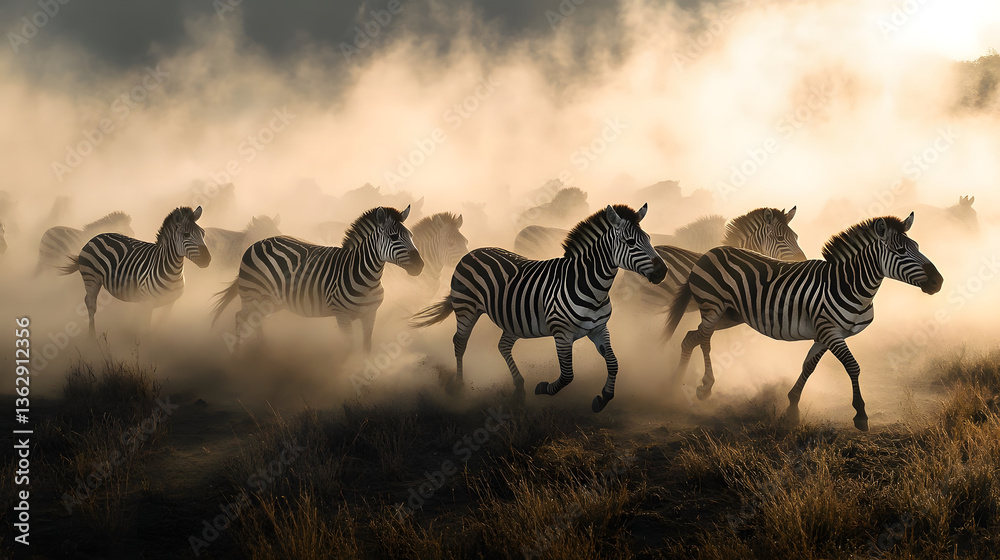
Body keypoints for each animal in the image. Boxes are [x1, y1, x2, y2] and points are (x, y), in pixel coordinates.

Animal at [61, 207, 211, 336]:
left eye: (203, 233)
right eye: (186, 234)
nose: (207, 259)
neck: (173, 272)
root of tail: (96, 236)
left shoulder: (170, 303)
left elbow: (160, 325)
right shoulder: (147, 303)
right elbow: (145, 329)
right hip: (91, 277)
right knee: (90, 303)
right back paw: (91, 337)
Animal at [210, 206, 423, 353]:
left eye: (411, 235)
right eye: (393, 237)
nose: (420, 265)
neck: (365, 277)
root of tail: (257, 243)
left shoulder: (370, 315)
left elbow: (366, 347)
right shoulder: (342, 316)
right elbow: (350, 349)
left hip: (270, 301)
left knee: (256, 320)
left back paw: (264, 348)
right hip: (253, 295)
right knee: (240, 317)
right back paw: (238, 354)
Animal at [411, 204, 668, 412]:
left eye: (648, 238)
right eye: (631, 242)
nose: (663, 271)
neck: (591, 286)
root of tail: (472, 252)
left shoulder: (599, 329)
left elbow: (614, 363)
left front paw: (602, 398)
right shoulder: (562, 334)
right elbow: (567, 375)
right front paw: (543, 387)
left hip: (512, 320)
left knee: (503, 346)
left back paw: (519, 388)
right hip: (467, 309)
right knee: (460, 343)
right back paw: (459, 387)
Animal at [663, 213, 943, 431]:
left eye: (917, 246)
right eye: (900, 251)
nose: (938, 282)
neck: (848, 284)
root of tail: (709, 252)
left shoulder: (824, 334)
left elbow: (808, 366)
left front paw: (792, 408)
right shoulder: (830, 331)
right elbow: (853, 367)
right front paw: (861, 415)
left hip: (731, 315)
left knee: (691, 337)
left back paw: (677, 386)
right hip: (713, 306)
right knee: (704, 339)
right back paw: (700, 387)